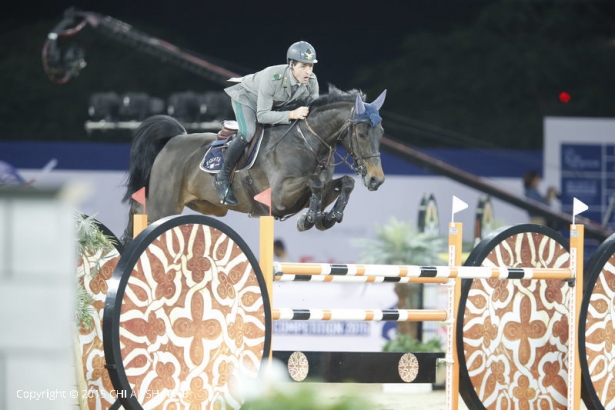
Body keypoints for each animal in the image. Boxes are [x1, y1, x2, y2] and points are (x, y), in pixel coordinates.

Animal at [122, 85, 388, 242]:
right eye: (361, 133)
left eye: (382, 133)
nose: (376, 180)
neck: (309, 142)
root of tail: (174, 139)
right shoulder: (279, 197)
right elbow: (315, 183)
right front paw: (310, 218)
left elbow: (344, 183)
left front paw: (327, 218)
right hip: (162, 207)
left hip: (206, 206)